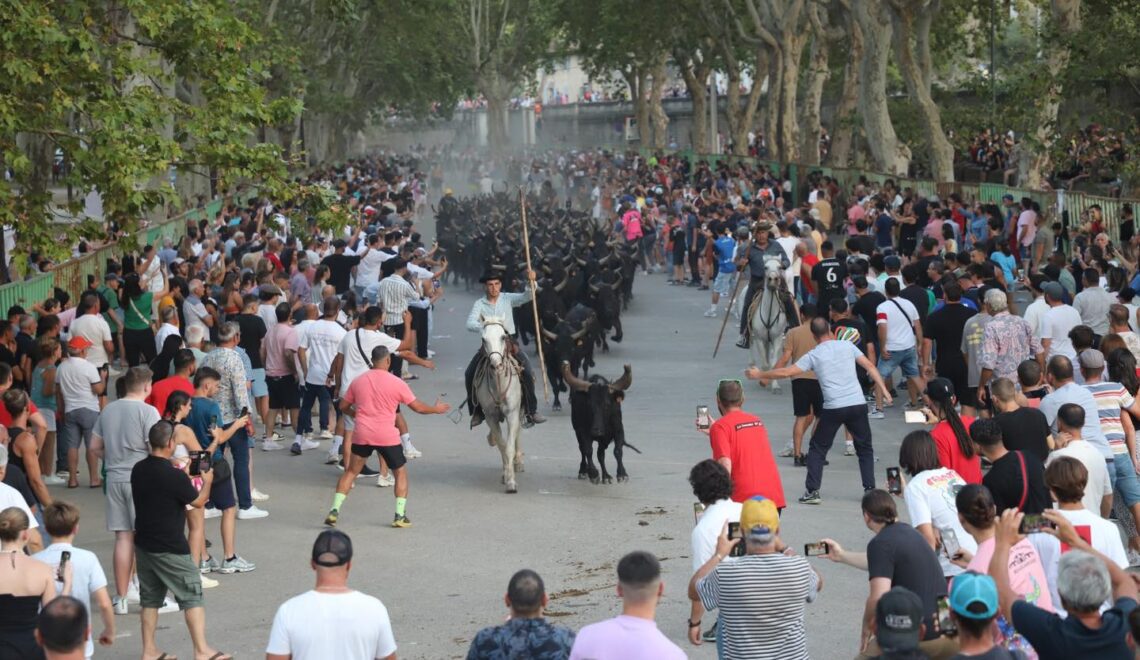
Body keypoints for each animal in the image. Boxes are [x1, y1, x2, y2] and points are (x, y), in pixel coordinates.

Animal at [471, 316, 524, 492]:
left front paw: (511, 483)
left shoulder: (512, 414)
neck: (499, 383)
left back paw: (518, 462)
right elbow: (502, 445)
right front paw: (506, 475)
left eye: (503, 337)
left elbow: (509, 446)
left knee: (518, 433)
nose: (496, 365)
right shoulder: (491, 416)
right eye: (483, 339)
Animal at [747, 256, 793, 392]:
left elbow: (773, 364)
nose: (773, 280)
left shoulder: (777, 338)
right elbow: (765, 364)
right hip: (753, 337)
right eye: (765, 267)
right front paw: (763, 380)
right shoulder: (759, 338)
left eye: (780, 267)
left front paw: (775, 386)